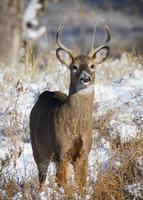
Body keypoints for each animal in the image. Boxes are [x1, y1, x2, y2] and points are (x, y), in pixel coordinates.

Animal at [29, 22, 110, 195]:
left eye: (92, 65)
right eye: (74, 66)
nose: (85, 78)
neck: (76, 126)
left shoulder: (85, 151)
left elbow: (82, 183)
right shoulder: (61, 150)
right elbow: (64, 184)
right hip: (38, 149)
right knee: (42, 178)